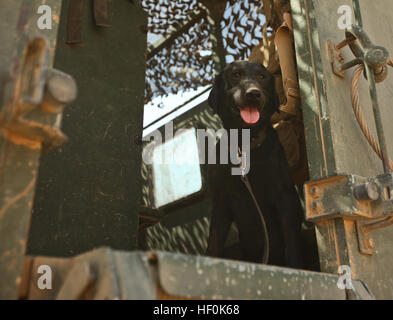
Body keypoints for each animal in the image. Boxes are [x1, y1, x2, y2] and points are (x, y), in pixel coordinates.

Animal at [205, 60, 304, 268]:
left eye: (262, 76)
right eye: (235, 74)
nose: (253, 93)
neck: (245, 145)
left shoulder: (285, 199)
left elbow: (291, 246)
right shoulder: (220, 203)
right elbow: (213, 247)